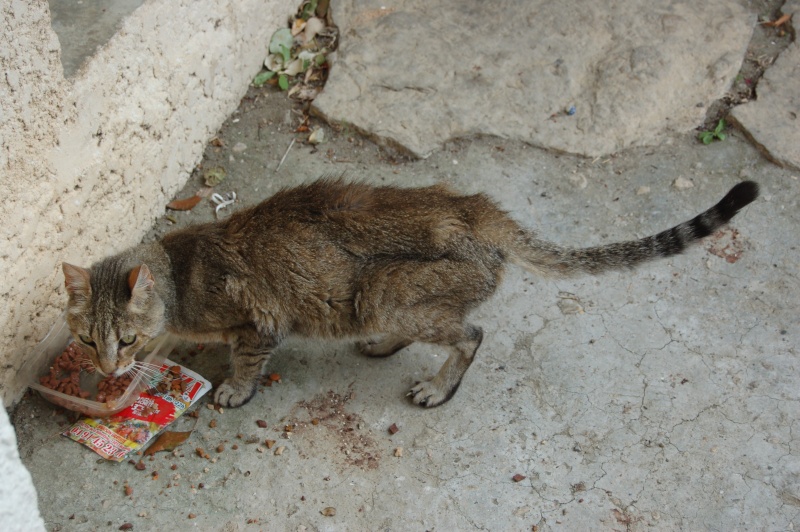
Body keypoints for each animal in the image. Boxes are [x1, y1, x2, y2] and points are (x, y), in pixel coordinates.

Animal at [61, 179, 756, 408]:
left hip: (387, 291)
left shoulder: (260, 321)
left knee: (471, 333)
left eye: (126, 338)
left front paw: (232, 387)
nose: (108, 367)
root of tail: (472, 205)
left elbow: (248, 359)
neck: (179, 279)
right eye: (87, 340)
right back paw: (380, 346)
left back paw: (438, 387)